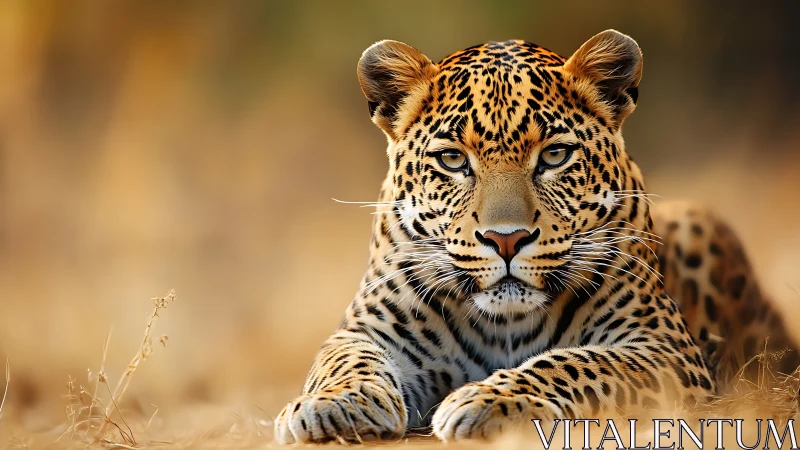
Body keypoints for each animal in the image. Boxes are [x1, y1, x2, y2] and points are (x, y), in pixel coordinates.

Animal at [273, 30, 797, 443]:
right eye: (453, 160)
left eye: (554, 156)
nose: (505, 240)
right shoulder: (368, 329)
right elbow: (344, 359)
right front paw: (333, 403)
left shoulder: (662, 349)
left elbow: (576, 362)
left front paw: (488, 400)